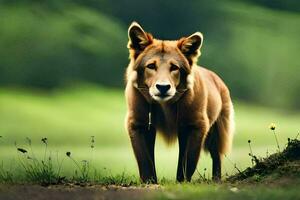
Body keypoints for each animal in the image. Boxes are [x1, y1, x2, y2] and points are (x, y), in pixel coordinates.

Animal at [124, 21, 234, 183]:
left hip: (216, 130)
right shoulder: (139, 124)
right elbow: (144, 159)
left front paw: (182, 182)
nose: (163, 87)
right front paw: (150, 181)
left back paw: (216, 179)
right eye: (151, 66)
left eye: (174, 67)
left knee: (216, 156)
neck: (165, 106)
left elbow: (188, 160)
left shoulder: (195, 125)